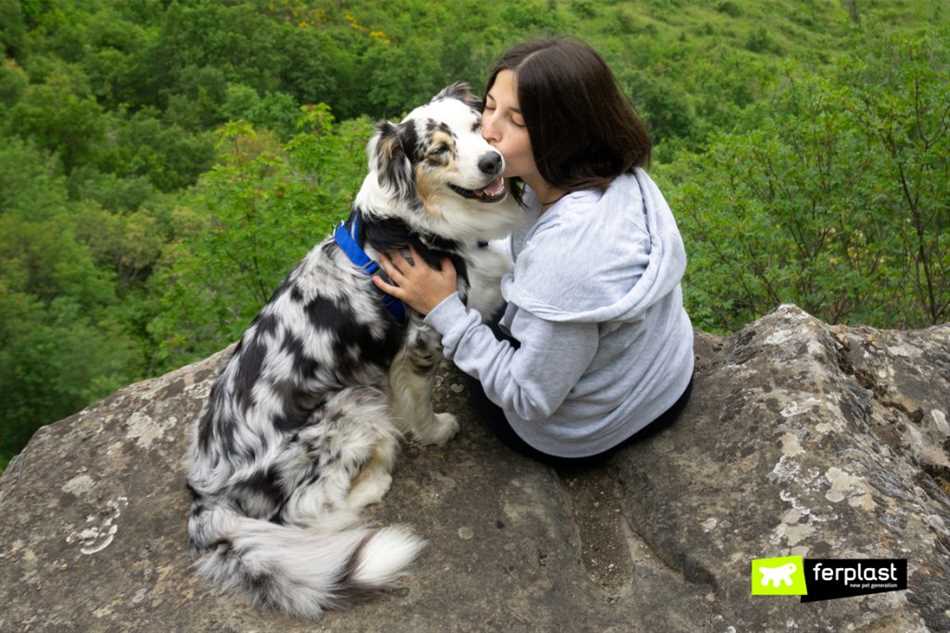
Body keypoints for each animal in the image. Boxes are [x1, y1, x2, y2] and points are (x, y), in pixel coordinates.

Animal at [182, 82, 524, 616]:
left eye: (476, 127)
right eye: (438, 151)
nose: (492, 162)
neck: (421, 224)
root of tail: (207, 497)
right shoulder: (421, 337)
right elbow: (419, 402)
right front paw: (436, 429)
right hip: (352, 403)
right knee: (307, 512)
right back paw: (376, 479)